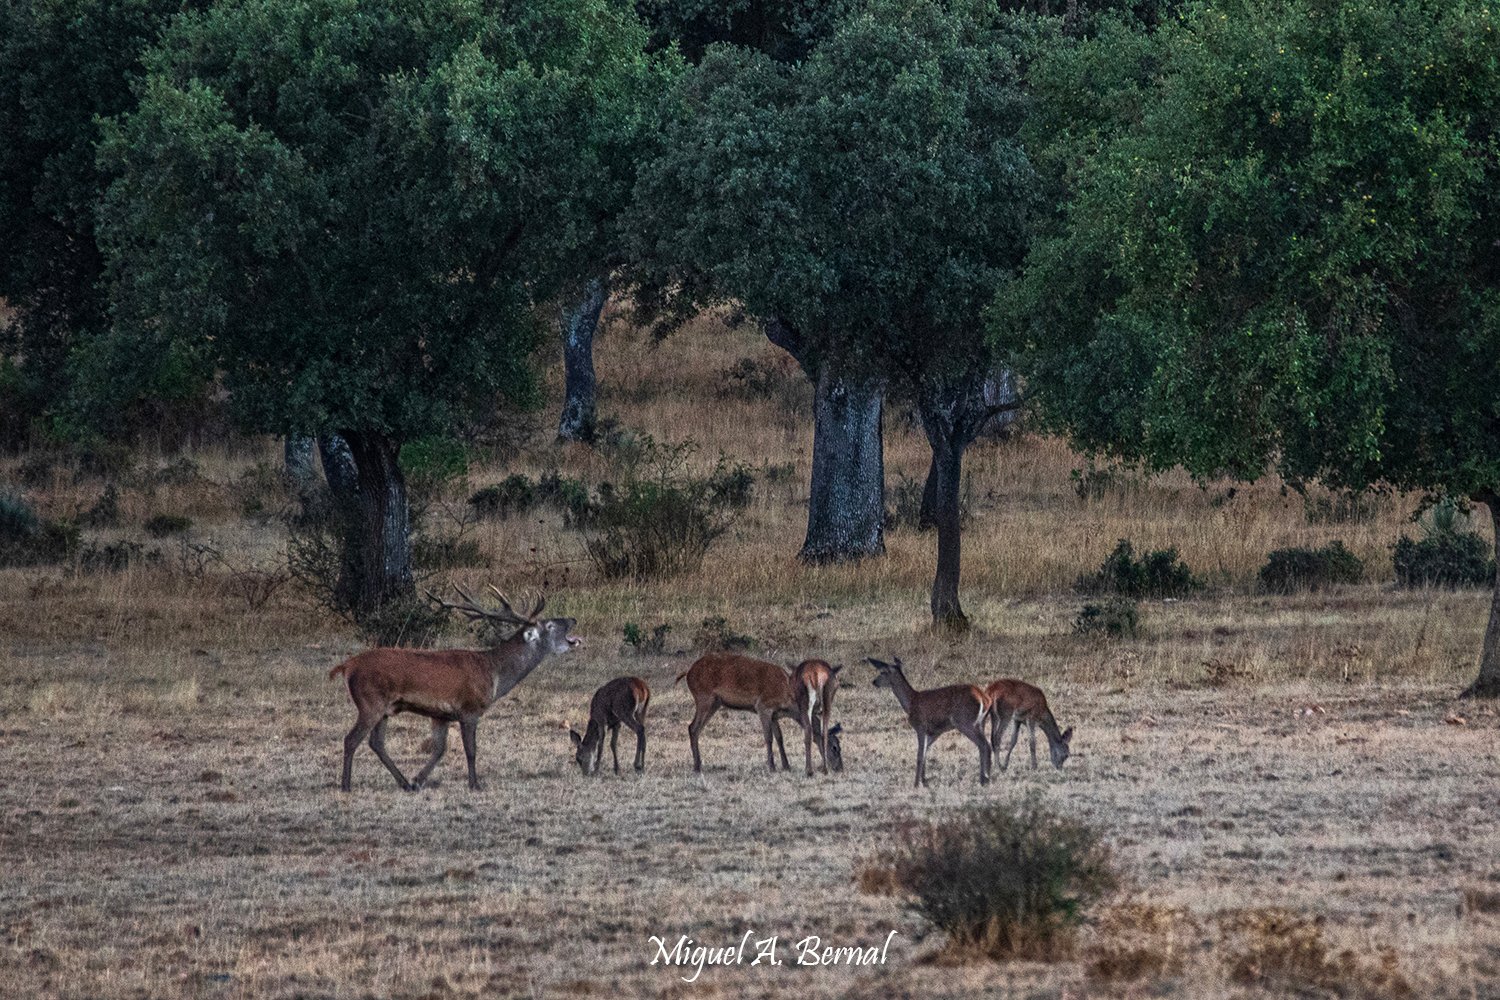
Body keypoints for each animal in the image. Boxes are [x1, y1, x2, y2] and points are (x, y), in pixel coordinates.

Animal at [329, 586, 582, 792]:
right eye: (550, 624)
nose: (573, 618)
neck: (493, 673)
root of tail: (347, 666)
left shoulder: (441, 714)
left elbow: (439, 749)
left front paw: (417, 780)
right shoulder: (470, 709)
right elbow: (471, 749)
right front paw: (475, 784)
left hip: (385, 709)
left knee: (376, 743)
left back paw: (403, 783)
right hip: (370, 701)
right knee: (351, 739)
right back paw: (346, 785)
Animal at [677, 652, 821, 776]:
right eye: (818, 734)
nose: (831, 765)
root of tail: (688, 672)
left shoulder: (774, 715)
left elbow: (780, 737)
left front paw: (786, 766)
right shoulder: (763, 707)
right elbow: (768, 737)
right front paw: (772, 767)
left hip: (715, 703)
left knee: (696, 728)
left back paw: (698, 765)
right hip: (704, 698)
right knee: (693, 727)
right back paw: (697, 767)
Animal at [868, 657, 991, 788]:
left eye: (883, 672)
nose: (874, 682)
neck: (911, 702)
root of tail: (984, 698)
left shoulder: (920, 726)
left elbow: (920, 755)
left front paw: (916, 783)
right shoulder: (934, 731)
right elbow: (925, 752)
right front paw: (924, 780)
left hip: (965, 721)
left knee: (983, 744)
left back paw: (984, 778)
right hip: (980, 723)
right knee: (986, 744)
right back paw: (986, 777)